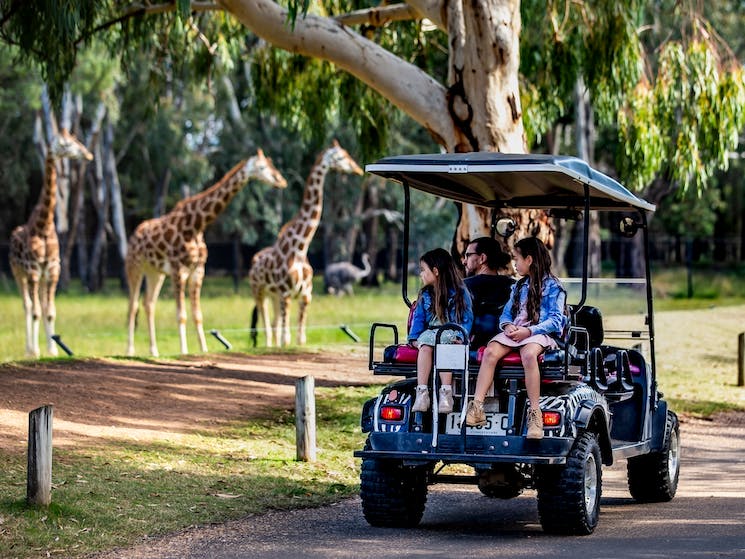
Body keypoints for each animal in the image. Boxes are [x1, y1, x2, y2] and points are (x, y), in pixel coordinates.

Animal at [8, 130, 93, 358]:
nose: (88, 155)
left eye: (75, 140)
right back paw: (29, 349)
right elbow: (36, 311)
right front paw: (36, 351)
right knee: (27, 305)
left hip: (41, 276)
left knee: (41, 304)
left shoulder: (53, 269)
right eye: (65, 144)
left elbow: (50, 311)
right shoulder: (32, 270)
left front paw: (53, 349)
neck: (43, 227)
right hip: (19, 273)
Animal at [123, 151, 286, 356]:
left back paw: (154, 351)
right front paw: (184, 350)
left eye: (272, 165)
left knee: (149, 304)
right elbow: (181, 315)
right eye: (262, 167)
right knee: (132, 305)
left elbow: (197, 315)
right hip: (135, 266)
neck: (195, 226)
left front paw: (203, 349)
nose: (281, 181)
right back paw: (130, 350)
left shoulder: (198, 270)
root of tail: (134, 234)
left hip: (155, 272)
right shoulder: (178, 270)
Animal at [250, 140, 364, 348]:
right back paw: (268, 344)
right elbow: (287, 338)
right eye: (341, 157)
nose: (357, 169)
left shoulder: (305, 296)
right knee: (266, 323)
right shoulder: (286, 294)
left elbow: (300, 338)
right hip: (259, 291)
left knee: (274, 324)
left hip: (273, 295)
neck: (300, 248)